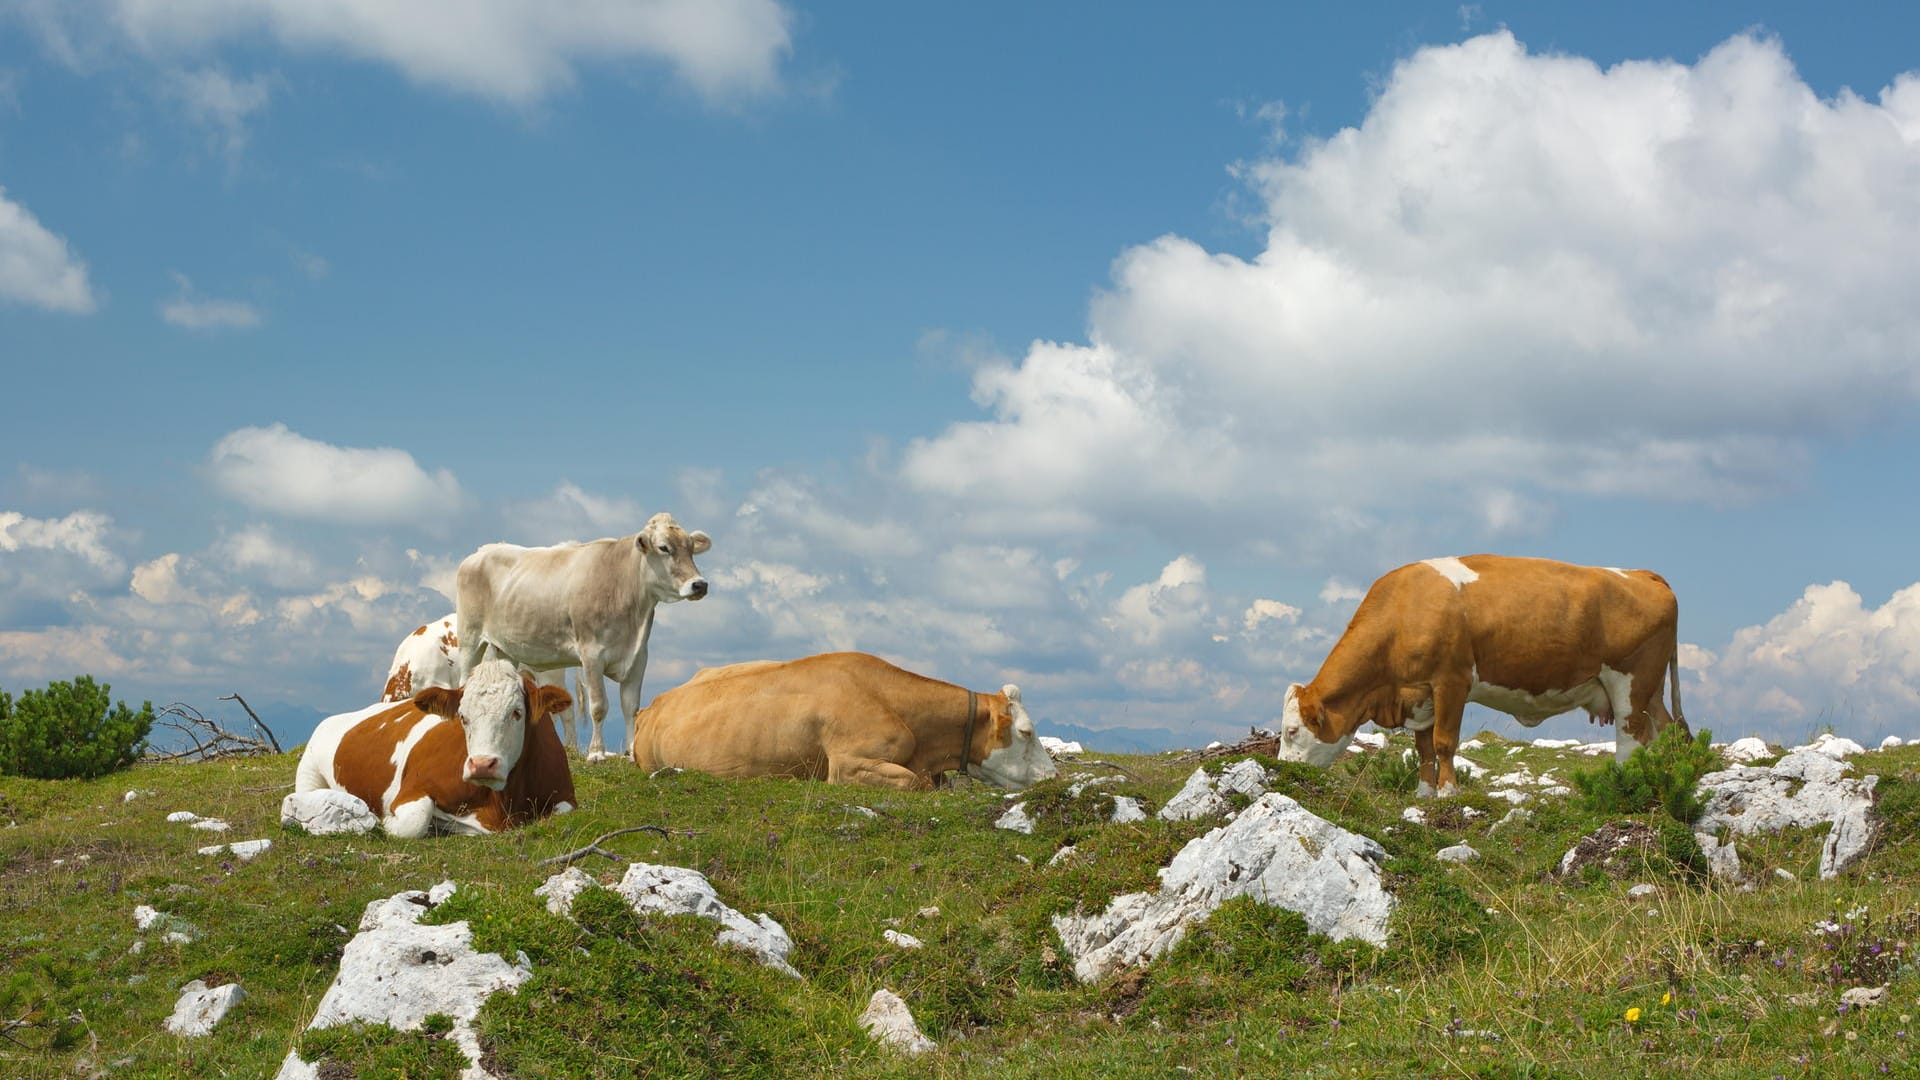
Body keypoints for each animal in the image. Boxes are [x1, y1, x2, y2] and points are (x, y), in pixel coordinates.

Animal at [291, 653, 576, 837]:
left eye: (516, 712)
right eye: (462, 716)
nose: (482, 764)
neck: (500, 804)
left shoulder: (565, 797)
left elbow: (562, 812)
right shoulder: (411, 790)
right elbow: (414, 822)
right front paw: (380, 820)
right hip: (308, 770)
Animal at [456, 511, 714, 757]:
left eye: (691, 548)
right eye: (663, 548)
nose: (699, 584)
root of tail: (482, 552)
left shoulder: (639, 657)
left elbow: (631, 707)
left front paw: (632, 752)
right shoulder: (592, 654)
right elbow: (599, 706)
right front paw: (596, 752)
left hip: (506, 648)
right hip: (469, 640)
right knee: (463, 683)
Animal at [1282, 557, 1689, 795]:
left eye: (1291, 731)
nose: (1282, 771)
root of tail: (1642, 573)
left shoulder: (1452, 681)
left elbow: (1444, 743)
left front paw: (1448, 793)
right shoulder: (1420, 694)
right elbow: (1424, 748)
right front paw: (1423, 794)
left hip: (1629, 683)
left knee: (1631, 737)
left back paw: (1624, 784)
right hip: (1651, 690)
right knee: (1667, 731)